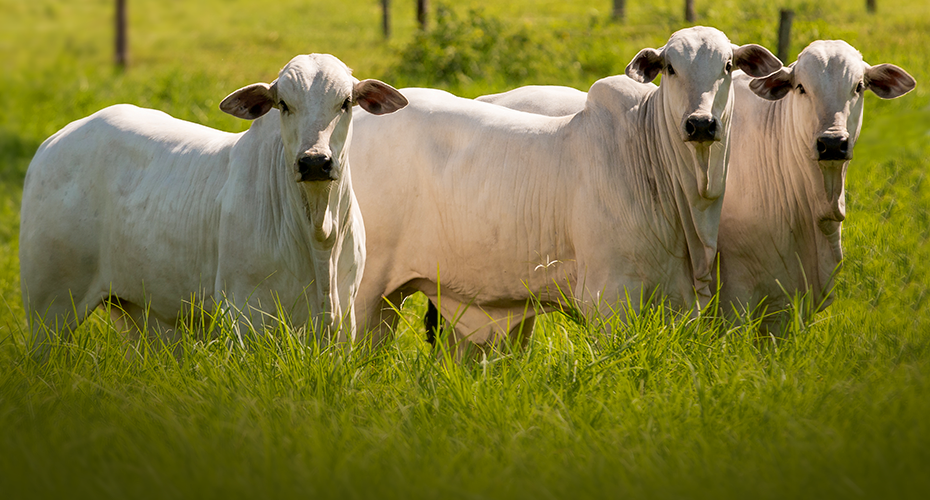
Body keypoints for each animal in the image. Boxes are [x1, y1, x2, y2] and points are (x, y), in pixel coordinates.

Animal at [20, 53, 406, 352]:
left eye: (345, 103)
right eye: (283, 104)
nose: (314, 162)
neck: (318, 235)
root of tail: (55, 140)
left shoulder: (344, 320)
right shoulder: (248, 315)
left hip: (139, 314)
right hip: (49, 306)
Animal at [344, 26, 780, 348]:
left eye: (727, 66)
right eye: (670, 68)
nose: (700, 123)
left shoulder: (680, 301)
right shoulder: (610, 299)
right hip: (366, 294)